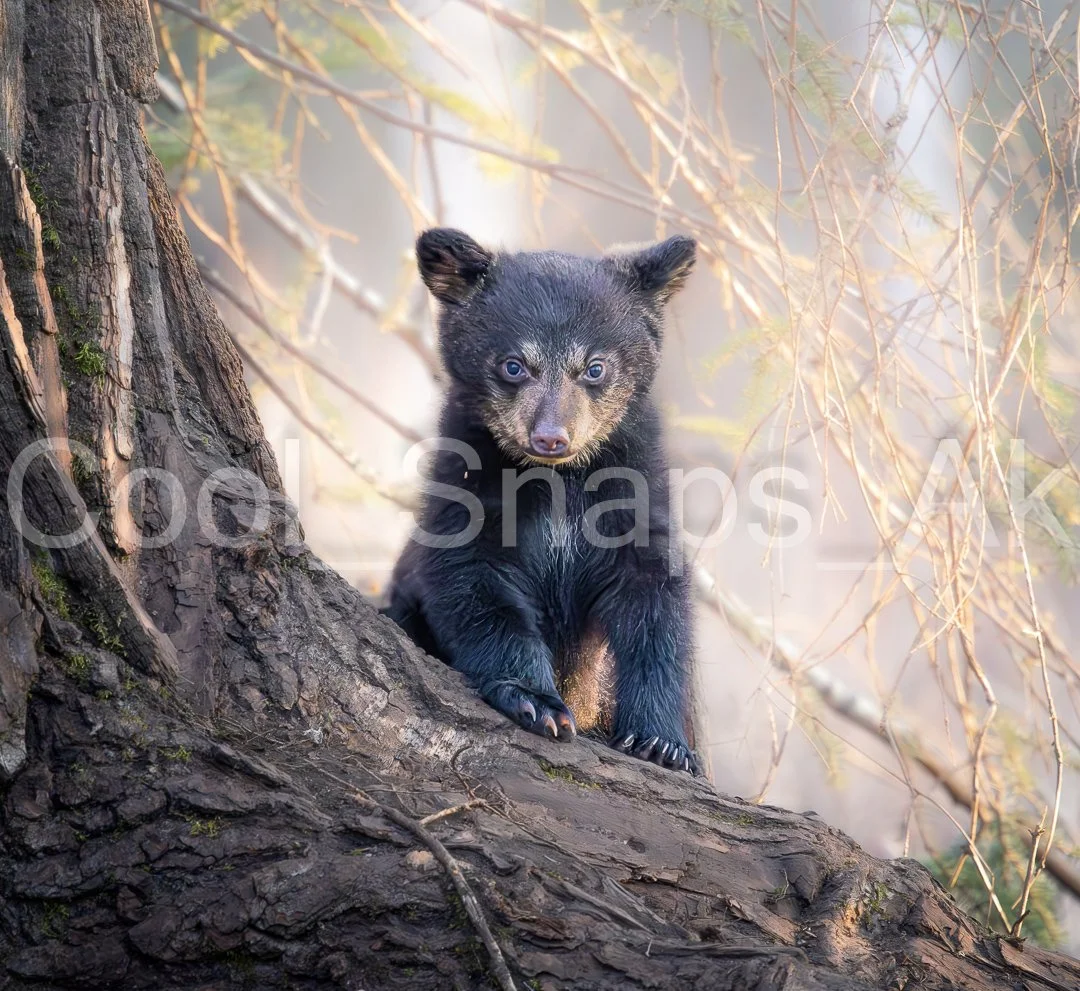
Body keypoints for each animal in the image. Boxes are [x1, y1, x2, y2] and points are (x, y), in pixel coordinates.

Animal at [384, 228, 700, 774]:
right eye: (514, 365)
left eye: (594, 367)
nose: (551, 437)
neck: (559, 481)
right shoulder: (469, 490)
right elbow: (472, 582)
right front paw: (537, 702)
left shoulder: (635, 494)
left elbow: (655, 601)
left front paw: (662, 743)